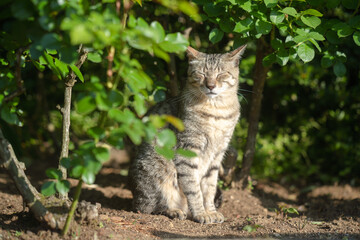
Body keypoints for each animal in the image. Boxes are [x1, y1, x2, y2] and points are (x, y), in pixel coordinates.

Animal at [128, 44, 246, 223]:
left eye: (221, 74)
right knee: (148, 207)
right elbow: (193, 188)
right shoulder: (188, 150)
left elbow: (209, 188)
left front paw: (210, 211)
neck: (217, 111)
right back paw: (174, 211)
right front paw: (201, 214)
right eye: (202, 74)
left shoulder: (217, 154)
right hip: (157, 174)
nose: (211, 86)